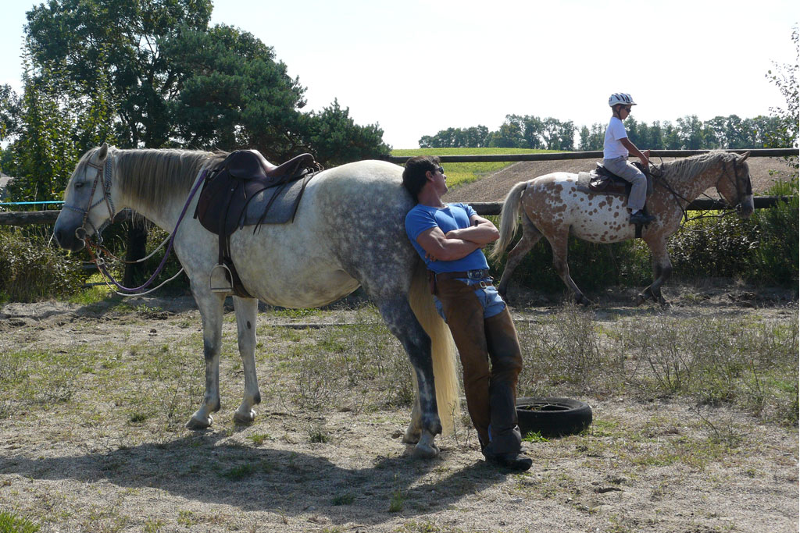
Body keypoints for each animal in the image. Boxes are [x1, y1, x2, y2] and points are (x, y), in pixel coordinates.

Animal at [53, 144, 460, 458]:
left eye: (81, 184)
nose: (62, 236)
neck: (191, 199)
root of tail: (407, 186)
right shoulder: (241, 293)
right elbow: (245, 345)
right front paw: (246, 407)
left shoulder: (206, 291)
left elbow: (211, 348)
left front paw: (205, 411)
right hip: (403, 292)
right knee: (417, 354)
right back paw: (413, 429)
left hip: (388, 293)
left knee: (418, 347)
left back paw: (427, 435)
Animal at [490, 152, 752, 306]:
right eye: (743, 177)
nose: (749, 208)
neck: (670, 187)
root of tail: (530, 183)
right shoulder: (656, 237)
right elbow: (667, 270)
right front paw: (647, 294)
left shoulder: (657, 239)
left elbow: (658, 269)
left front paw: (659, 297)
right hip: (557, 233)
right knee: (560, 265)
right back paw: (582, 297)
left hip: (534, 232)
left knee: (514, 256)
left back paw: (503, 291)